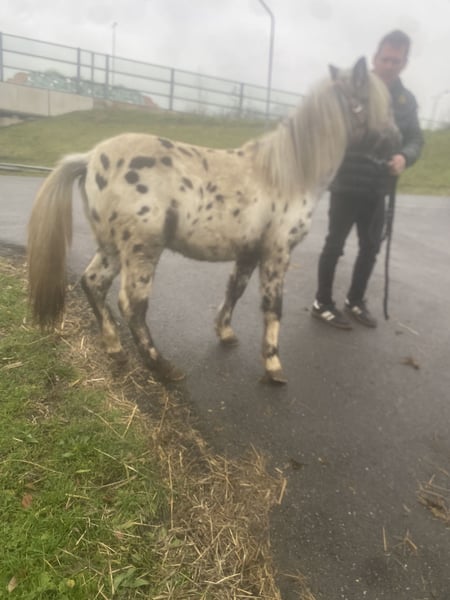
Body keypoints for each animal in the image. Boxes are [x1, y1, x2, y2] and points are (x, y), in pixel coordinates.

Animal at [27, 57, 399, 384]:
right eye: (374, 102)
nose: (397, 144)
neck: (286, 173)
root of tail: (91, 158)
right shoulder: (277, 252)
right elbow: (273, 306)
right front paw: (273, 366)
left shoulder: (249, 252)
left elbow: (235, 291)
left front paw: (226, 333)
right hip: (142, 249)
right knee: (131, 304)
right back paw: (163, 367)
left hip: (111, 247)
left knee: (93, 283)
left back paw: (116, 350)